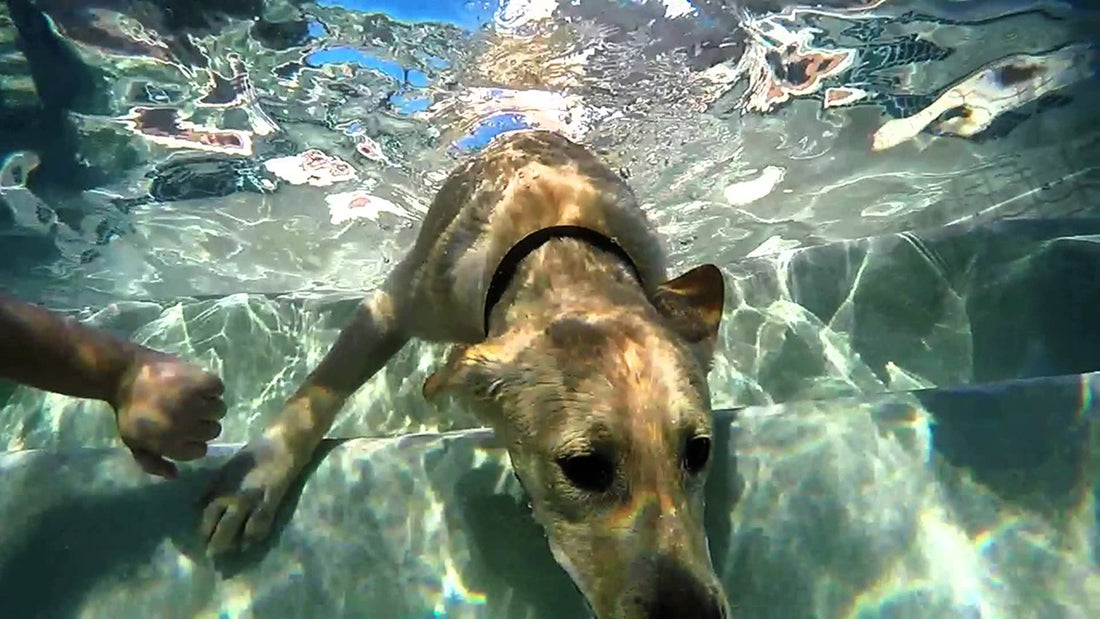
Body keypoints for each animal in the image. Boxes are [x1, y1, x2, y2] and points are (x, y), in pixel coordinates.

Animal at [200, 130, 730, 619]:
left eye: (699, 451)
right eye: (583, 468)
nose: (695, 616)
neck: (562, 247)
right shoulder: (394, 306)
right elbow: (327, 383)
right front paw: (257, 478)